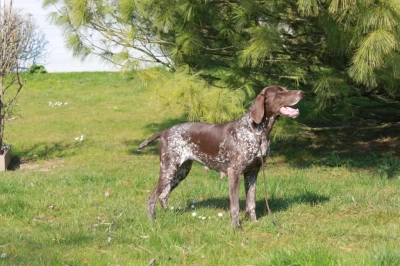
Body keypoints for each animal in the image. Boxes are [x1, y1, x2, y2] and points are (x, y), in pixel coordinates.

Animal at [139, 85, 302, 229]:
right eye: (280, 92)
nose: (302, 92)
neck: (257, 131)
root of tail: (165, 131)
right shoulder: (234, 173)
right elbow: (235, 206)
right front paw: (236, 227)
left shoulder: (252, 173)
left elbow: (251, 203)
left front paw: (254, 222)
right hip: (169, 169)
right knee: (152, 197)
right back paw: (153, 221)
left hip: (181, 172)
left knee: (163, 195)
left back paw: (168, 214)